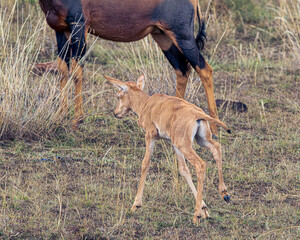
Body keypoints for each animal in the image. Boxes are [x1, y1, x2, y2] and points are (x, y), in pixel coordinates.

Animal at [38, 0, 220, 133]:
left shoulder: (79, 26)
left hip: (182, 35)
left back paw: (215, 127)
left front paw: (77, 121)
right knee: (182, 70)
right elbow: (62, 70)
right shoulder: (60, 30)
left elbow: (77, 72)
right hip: (162, 36)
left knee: (204, 69)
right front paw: (58, 117)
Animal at [105, 74, 232, 224]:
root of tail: (198, 114)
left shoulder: (150, 136)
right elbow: (184, 170)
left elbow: (145, 164)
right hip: (200, 141)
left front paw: (136, 205)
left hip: (185, 145)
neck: (148, 103)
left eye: (118, 95)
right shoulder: (173, 144)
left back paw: (196, 216)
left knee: (200, 164)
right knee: (216, 148)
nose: (116, 113)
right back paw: (225, 194)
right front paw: (204, 208)